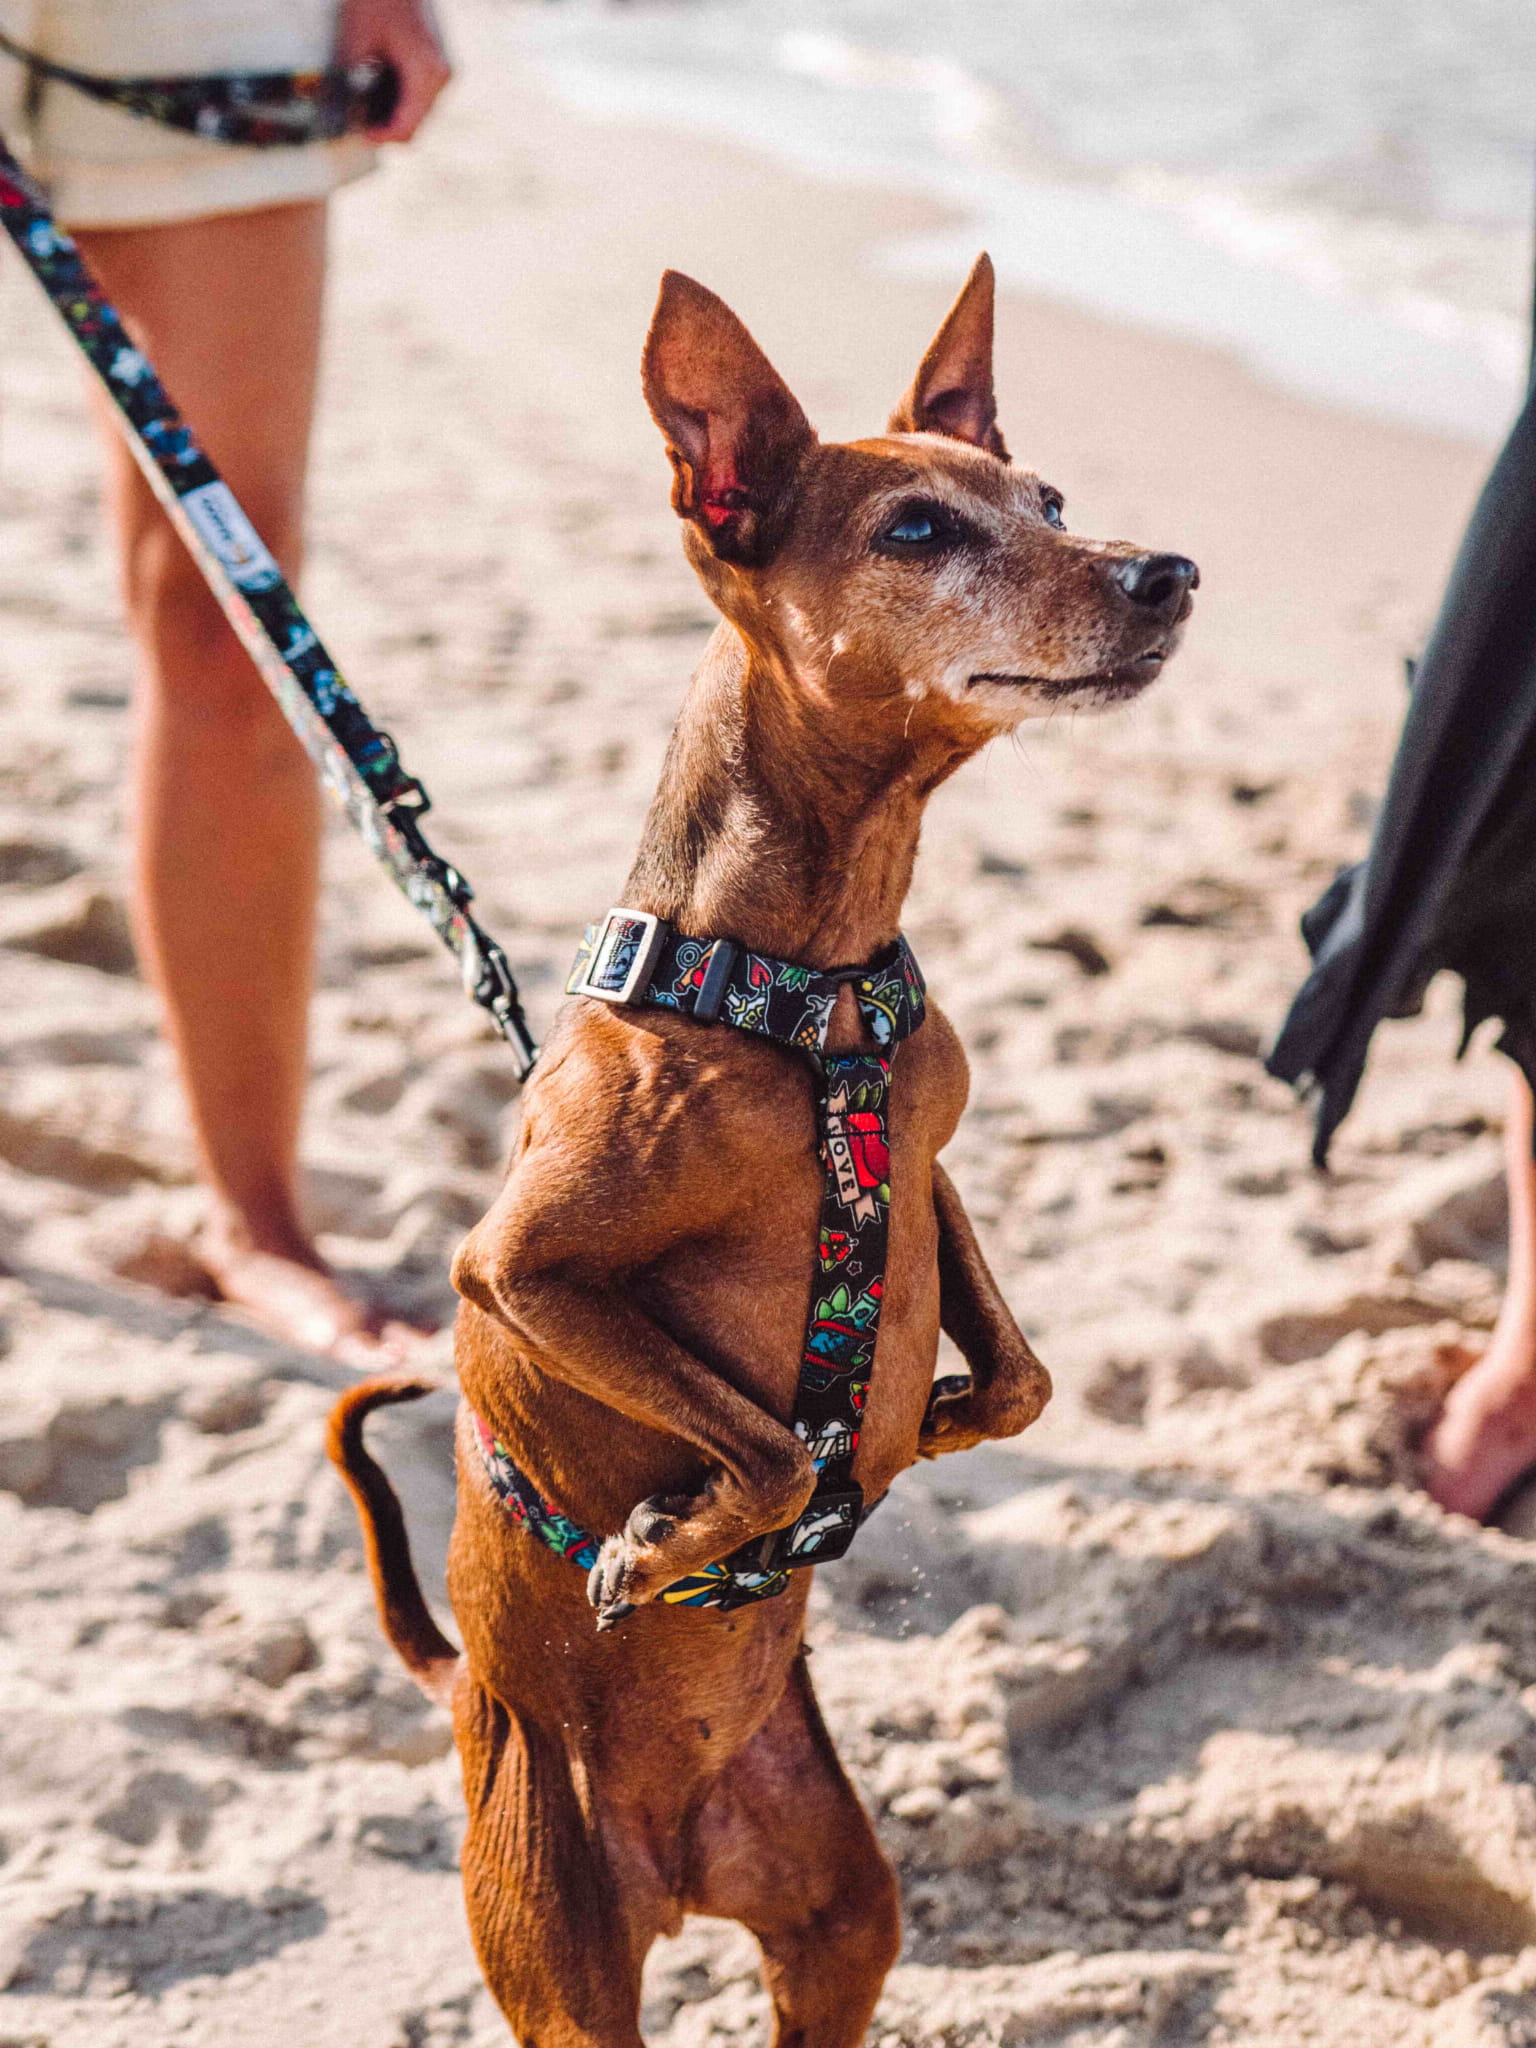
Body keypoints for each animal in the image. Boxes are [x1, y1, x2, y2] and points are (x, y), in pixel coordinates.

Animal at [333, 256, 1204, 2048]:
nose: (1163, 572)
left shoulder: (927, 1163)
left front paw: (928, 1420)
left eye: (1047, 500)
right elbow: (775, 1447)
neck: (808, 979)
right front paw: (673, 1533)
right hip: (559, 1956)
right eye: (918, 531)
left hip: (838, 1916)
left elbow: (1021, 1379)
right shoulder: (515, 1269)